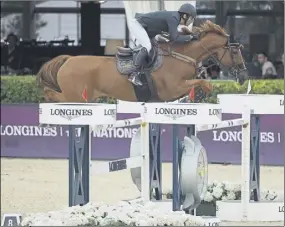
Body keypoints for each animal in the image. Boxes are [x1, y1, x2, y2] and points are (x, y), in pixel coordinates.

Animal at [36, 20, 245, 103]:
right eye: (235, 51)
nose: (243, 76)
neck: (181, 56)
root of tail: (68, 60)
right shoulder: (172, 89)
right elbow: (203, 82)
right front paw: (204, 92)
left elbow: (199, 84)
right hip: (76, 97)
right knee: (51, 93)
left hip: (87, 98)